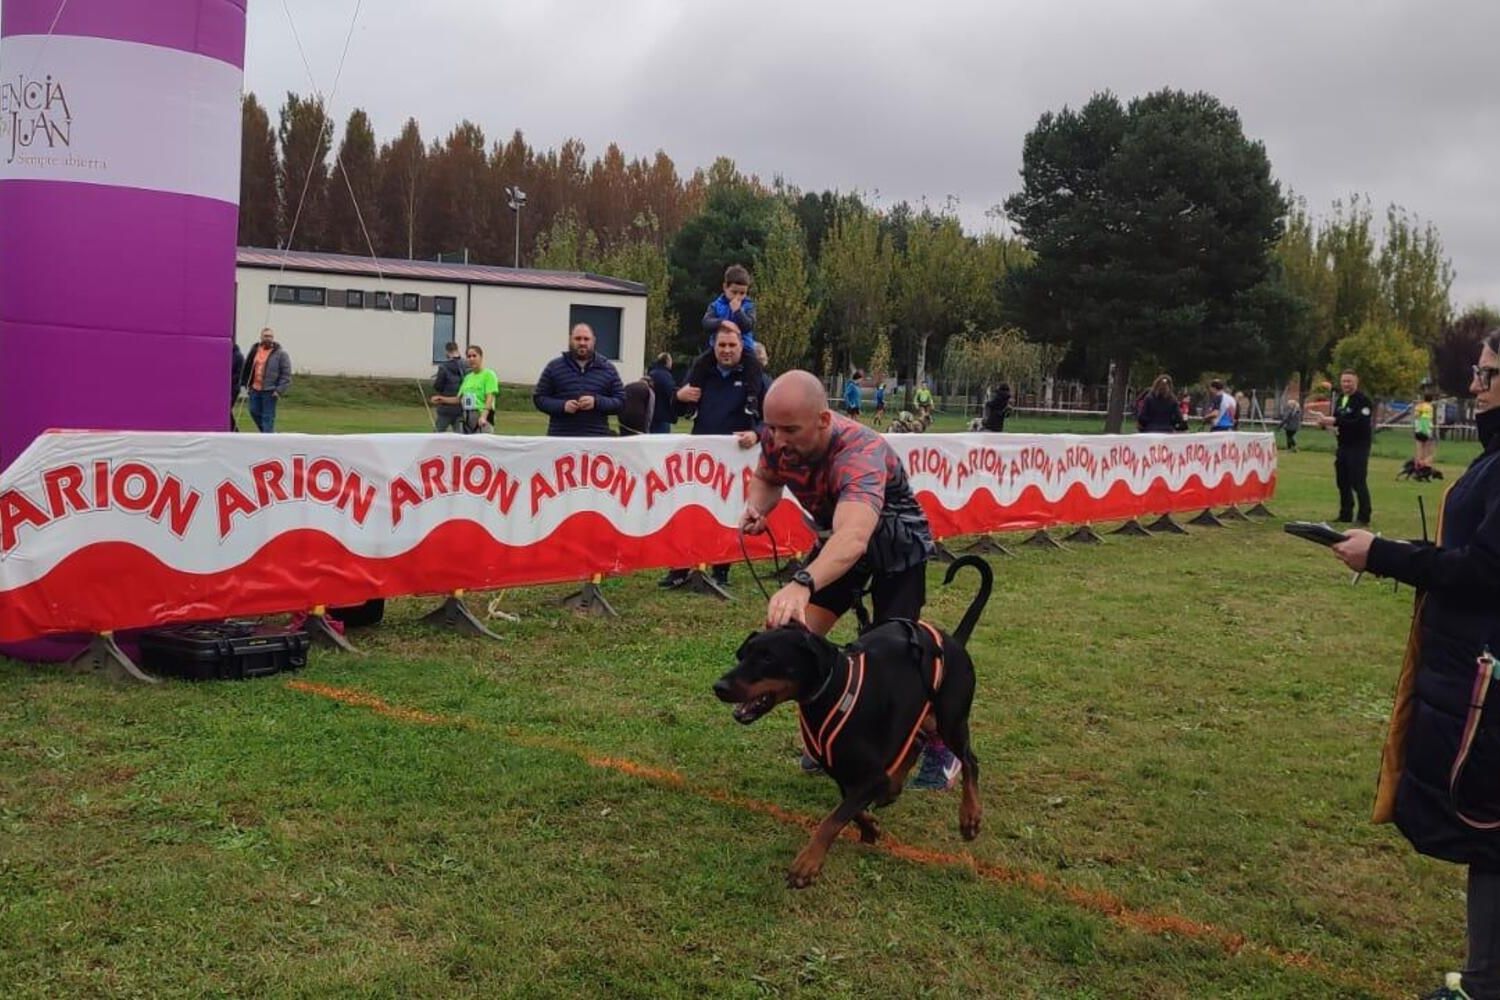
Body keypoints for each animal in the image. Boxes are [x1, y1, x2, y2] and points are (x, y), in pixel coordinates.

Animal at [708, 554, 990, 893]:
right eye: (743, 654)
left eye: (767, 658)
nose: (719, 687)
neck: (833, 692)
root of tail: (954, 642)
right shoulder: (841, 771)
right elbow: (849, 809)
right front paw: (870, 828)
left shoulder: (867, 776)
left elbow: (833, 819)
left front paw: (806, 864)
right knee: (917, 742)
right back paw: (895, 789)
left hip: (950, 718)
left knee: (970, 760)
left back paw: (970, 817)